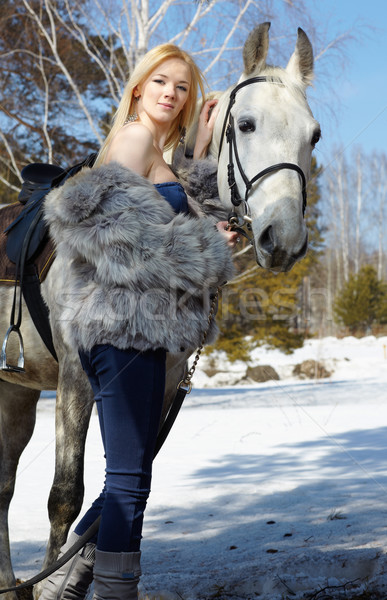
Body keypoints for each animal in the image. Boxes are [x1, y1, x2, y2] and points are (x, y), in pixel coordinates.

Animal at [0, 21, 322, 596]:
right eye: (246, 124)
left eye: (315, 135)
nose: (283, 240)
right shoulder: (76, 378)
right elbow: (65, 496)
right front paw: (49, 584)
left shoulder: (166, 380)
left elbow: (120, 492)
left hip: (16, 391)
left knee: (3, 485)